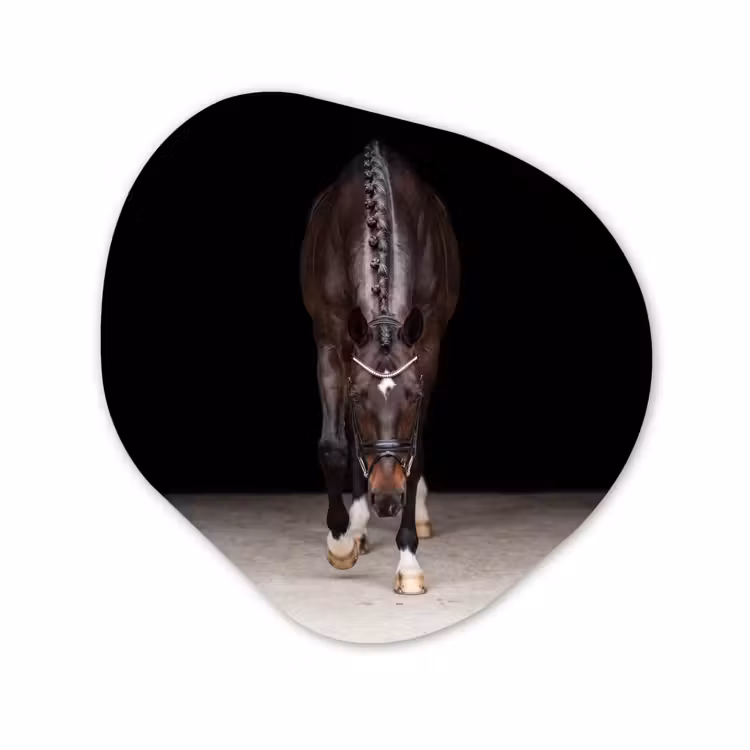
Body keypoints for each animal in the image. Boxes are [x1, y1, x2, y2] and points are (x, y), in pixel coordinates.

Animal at [300, 140, 460, 594]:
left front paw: (408, 562)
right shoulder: (330, 343)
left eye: (413, 397)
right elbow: (334, 446)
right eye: (358, 398)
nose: (387, 499)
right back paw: (357, 526)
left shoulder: (427, 348)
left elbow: (414, 456)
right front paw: (341, 541)